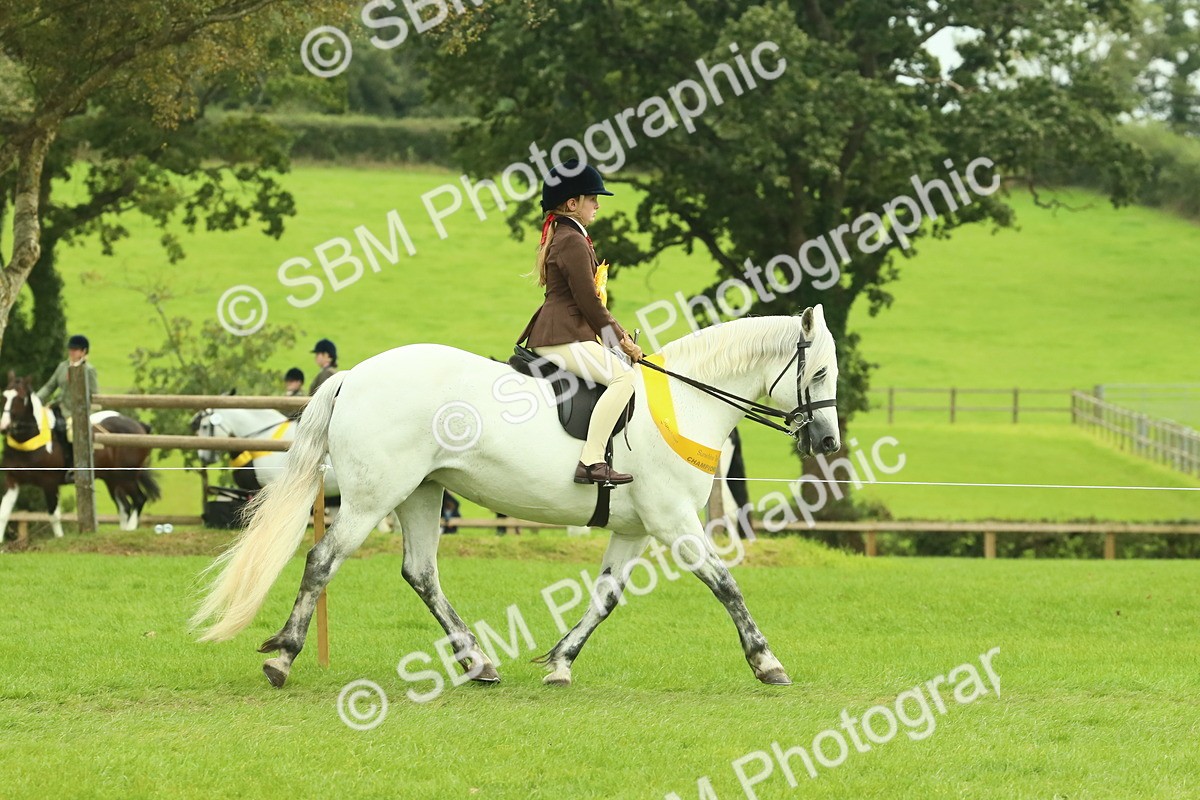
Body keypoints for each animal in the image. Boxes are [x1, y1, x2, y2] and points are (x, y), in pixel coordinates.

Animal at [0, 374, 160, 537]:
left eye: (20, 398)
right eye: (4, 396)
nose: (4, 427)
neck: (28, 440)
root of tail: (139, 426)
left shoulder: (49, 483)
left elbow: (54, 515)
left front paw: (60, 539)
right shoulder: (12, 481)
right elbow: (4, 513)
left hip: (126, 477)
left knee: (139, 499)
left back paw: (129, 530)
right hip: (112, 479)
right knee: (125, 507)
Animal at [192, 307, 841, 690]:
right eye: (820, 373)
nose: (829, 442)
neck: (685, 403)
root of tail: (354, 375)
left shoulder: (634, 529)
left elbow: (605, 598)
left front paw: (559, 662)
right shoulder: (673, 521)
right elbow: (726, 585)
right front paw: (767, 662)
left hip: (422, 493)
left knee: (420, 572)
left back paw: (478, 663)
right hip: (373, 497)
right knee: (323, 560)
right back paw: (282, 658)